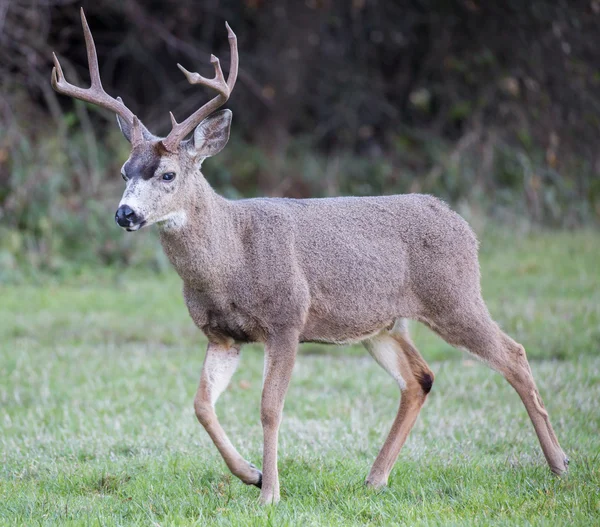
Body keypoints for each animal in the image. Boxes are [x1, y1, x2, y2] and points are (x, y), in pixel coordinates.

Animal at [50, 9, 568, 508]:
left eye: (168, 174)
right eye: (125, 171)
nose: (125, 213)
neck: (231, 259)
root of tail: (461, 224)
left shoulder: (287, 318)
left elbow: (269, 407)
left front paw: (270, 494)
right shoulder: (222, 335)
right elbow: (201, 405)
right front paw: (251, 475)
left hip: (454, 296)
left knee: (514, 355)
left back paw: (559, 462)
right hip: (384, 324)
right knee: (420, 378)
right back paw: (374, 479)